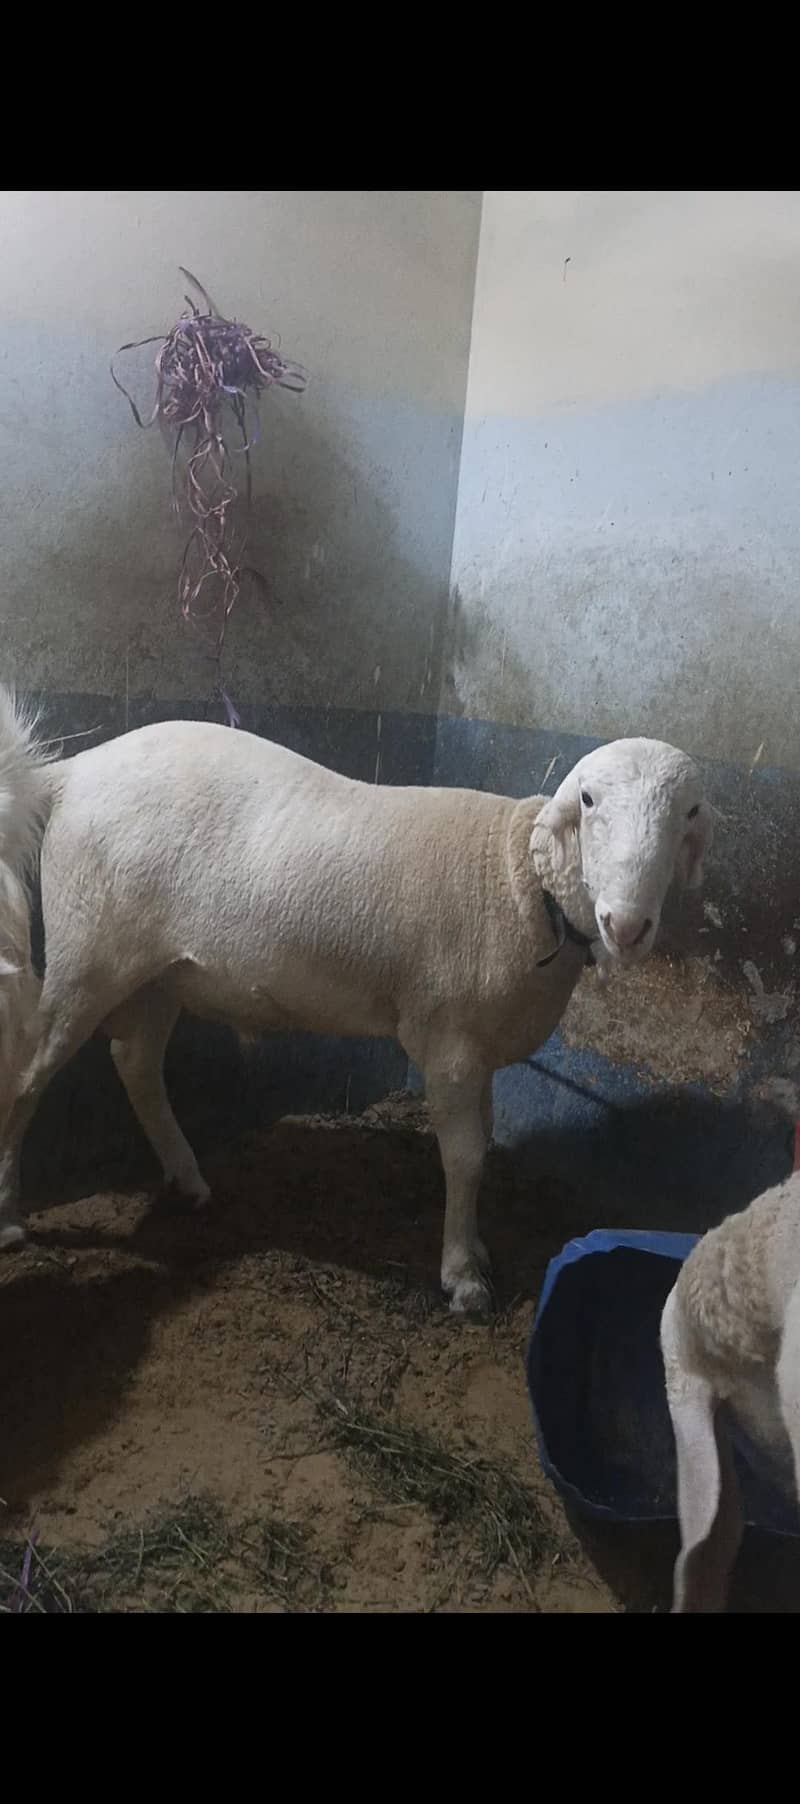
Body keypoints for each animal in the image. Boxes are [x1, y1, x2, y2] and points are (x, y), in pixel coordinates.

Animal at [0, 693, 712, 1314]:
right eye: (588, 800)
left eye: (690, 812)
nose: (627, 925)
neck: (520, 880)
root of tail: (71, 773)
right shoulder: (448, 1040)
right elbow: (464, 1155)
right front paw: (462, 1277)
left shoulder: (478, 1046)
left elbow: (482, 1140)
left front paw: (477, 1249)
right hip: (87, 954)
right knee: (30, 1077)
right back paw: (10, 1215)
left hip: (158, 971)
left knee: (136, 1063)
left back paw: (188, 1178)